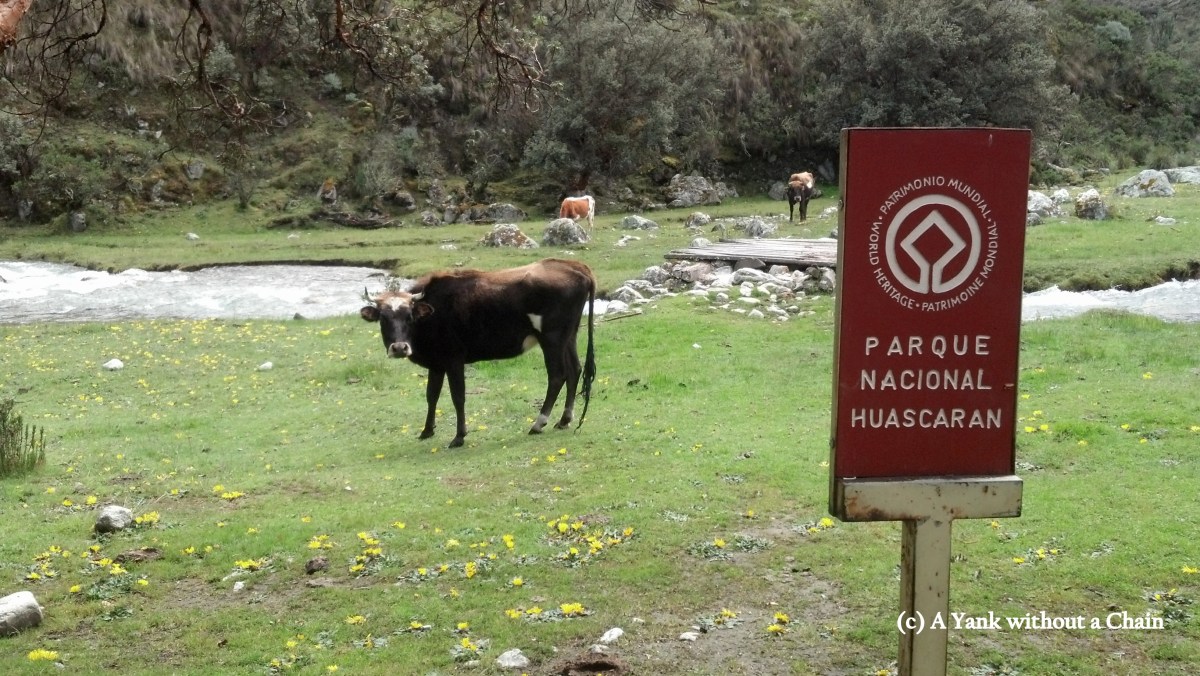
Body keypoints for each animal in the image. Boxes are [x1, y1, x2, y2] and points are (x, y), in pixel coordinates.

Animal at [360, 258, 597, 449]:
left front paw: (459, 437)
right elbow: (432, 396)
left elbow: (458, 396)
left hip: (552, 339)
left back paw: (538, 423)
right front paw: (427, 431)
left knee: (558, 376)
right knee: (575, 370)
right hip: (569, 336)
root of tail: (575, 266)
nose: (399, 348)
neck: (433, 313)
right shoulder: (437, 364)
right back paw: (564, 420)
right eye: (383, 318)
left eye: (409, 316)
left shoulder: (454, 360)